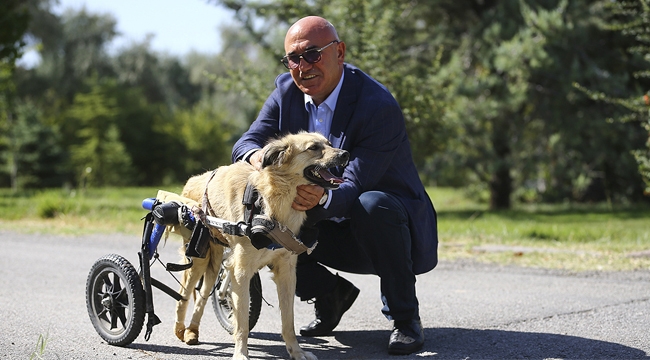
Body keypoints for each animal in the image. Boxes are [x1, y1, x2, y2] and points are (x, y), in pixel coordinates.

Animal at [171, 132, 344, 360]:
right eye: (313, 148)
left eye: (330, 144)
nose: (345, 154)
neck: (272, 201)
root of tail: (192, 180)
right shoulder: (241, 272)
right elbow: (242, 323)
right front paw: (240, 353)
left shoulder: (287, 272)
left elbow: (288, 321)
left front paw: (296, 351)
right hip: (199, 259)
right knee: (183, 296)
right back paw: (180, 329)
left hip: (214, 263)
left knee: (202, 296)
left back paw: (192, 331)